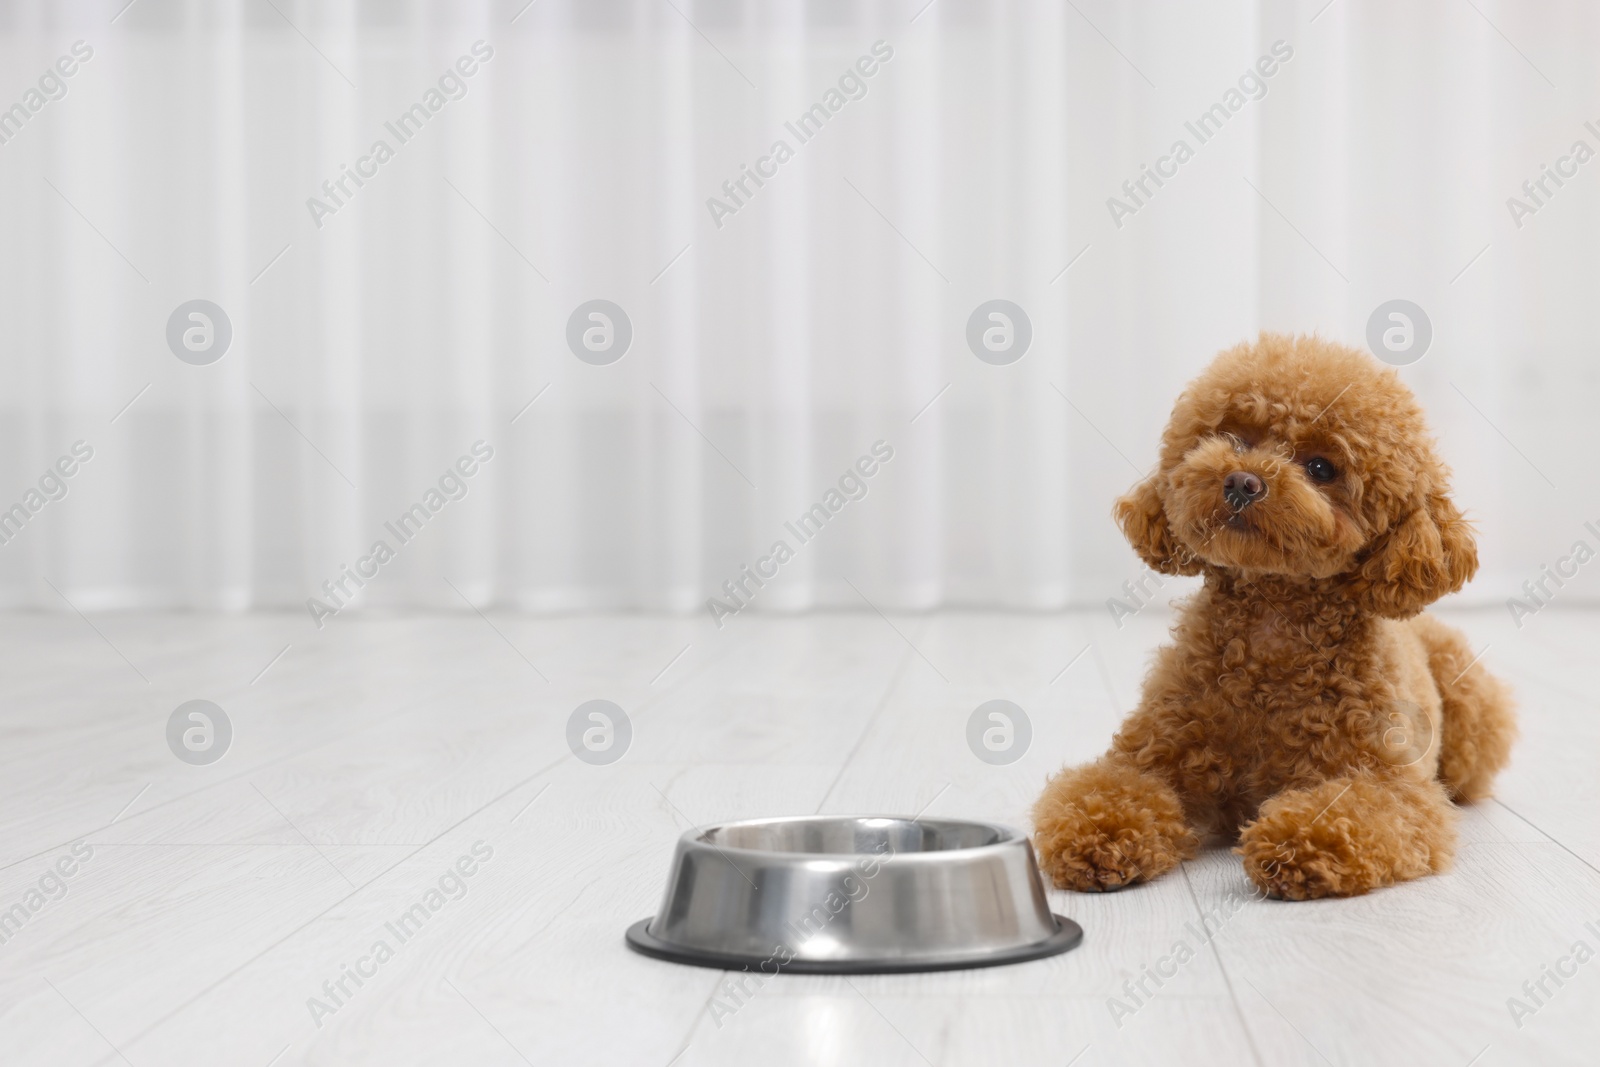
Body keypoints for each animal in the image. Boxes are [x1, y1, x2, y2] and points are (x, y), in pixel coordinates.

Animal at [1030, 334, 1516, 902]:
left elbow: (1362, 811)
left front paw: (1295, 845)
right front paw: (1101, 835)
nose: (1243, 482)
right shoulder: (1150, 755)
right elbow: (1111, 789)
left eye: (1322, 468)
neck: (1271, 628)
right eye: (1235, 438)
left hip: (1471, 712)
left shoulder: (1391, 784)